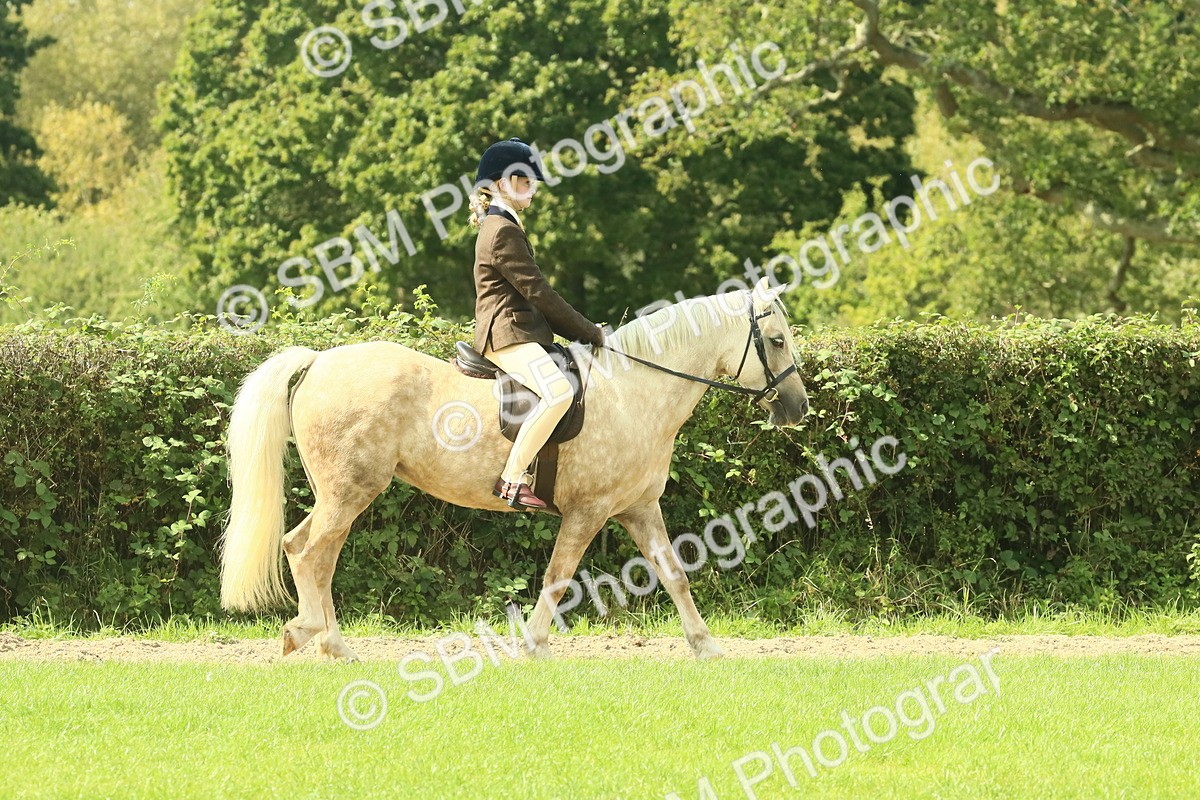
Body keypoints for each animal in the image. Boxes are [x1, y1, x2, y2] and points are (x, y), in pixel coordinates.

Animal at [218, 277, 809, 661]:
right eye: (776, 340)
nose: (797, 408)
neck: (635, 390)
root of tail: (320, 359)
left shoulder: (639, 508)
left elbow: (674, 574)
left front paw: (707, 647)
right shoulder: (588, 511)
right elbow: (558, 577)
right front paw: (534, 646)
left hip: (340, 492)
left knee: (306, 549)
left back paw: (328, 644)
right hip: (350, 490)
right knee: (313, 554)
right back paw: (318, 638)